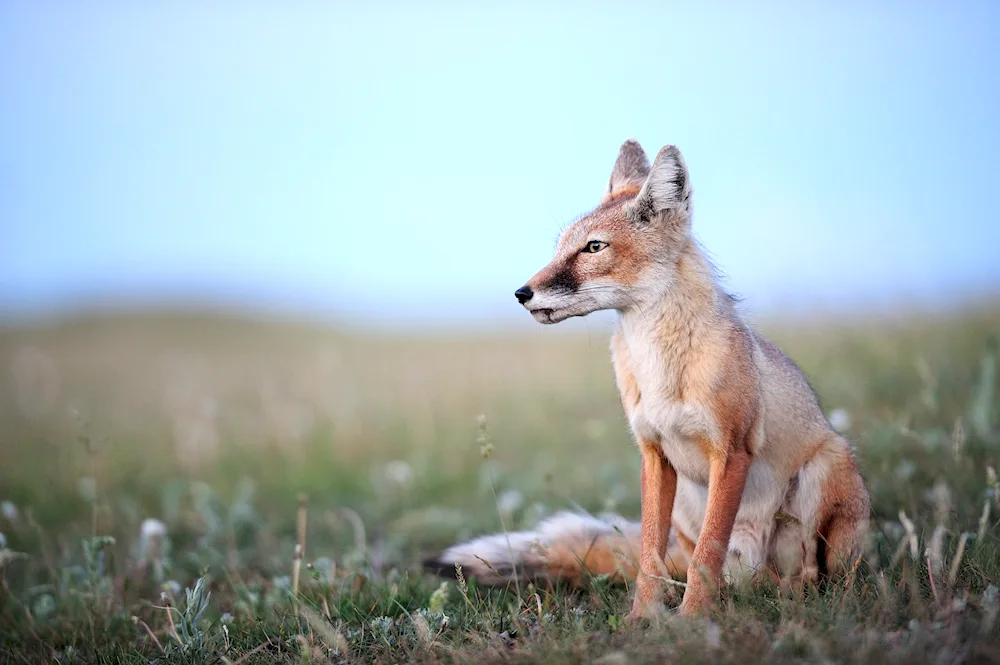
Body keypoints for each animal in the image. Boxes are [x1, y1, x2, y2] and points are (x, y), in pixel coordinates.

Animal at [422, 137, 868, 620]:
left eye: (593, 248)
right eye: (560, 247)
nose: (522, 293)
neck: (659, 369)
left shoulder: (731, 452)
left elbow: (707, 553)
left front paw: (691, 620)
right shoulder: (654, 454)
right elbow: (652, 555)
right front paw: (644, 619)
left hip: (825, 472)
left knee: (819, 575)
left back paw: (806, 599)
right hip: (690, 507)